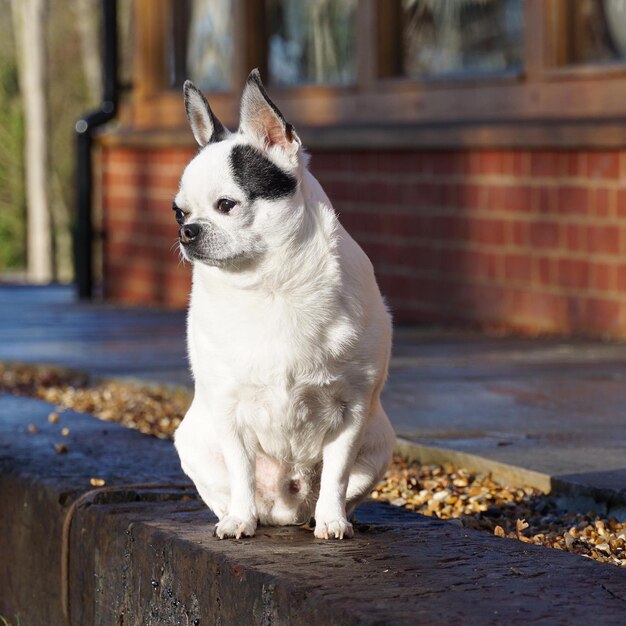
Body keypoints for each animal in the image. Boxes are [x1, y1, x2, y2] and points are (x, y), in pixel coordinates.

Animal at [173, 67, 392, 536]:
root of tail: (289, 510)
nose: (187, 231)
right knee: (232, 488)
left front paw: (333, 522)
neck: (270, 287)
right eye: (178, 213)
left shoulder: (353, 410)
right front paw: (240, 520)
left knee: (337, 486)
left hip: (379, 442)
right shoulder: (229, 411)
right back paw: (242, 514)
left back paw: (332, 516)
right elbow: (240, 469)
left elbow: (337, 473)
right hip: (195, 444)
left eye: (226, 205)